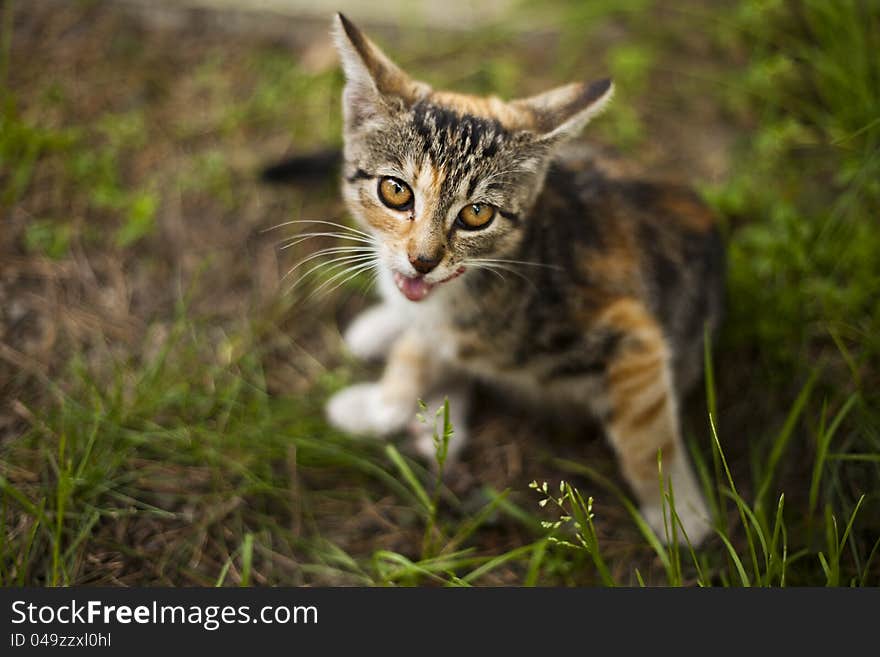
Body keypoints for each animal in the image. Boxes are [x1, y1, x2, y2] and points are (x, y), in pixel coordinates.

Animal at [324, 14, 720, 544]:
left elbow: (647, 429)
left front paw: (678, 513)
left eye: (477, 214)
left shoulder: (633, 332)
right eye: (395, 191)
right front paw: (381, 405)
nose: (423, 260)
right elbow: (420, 345)